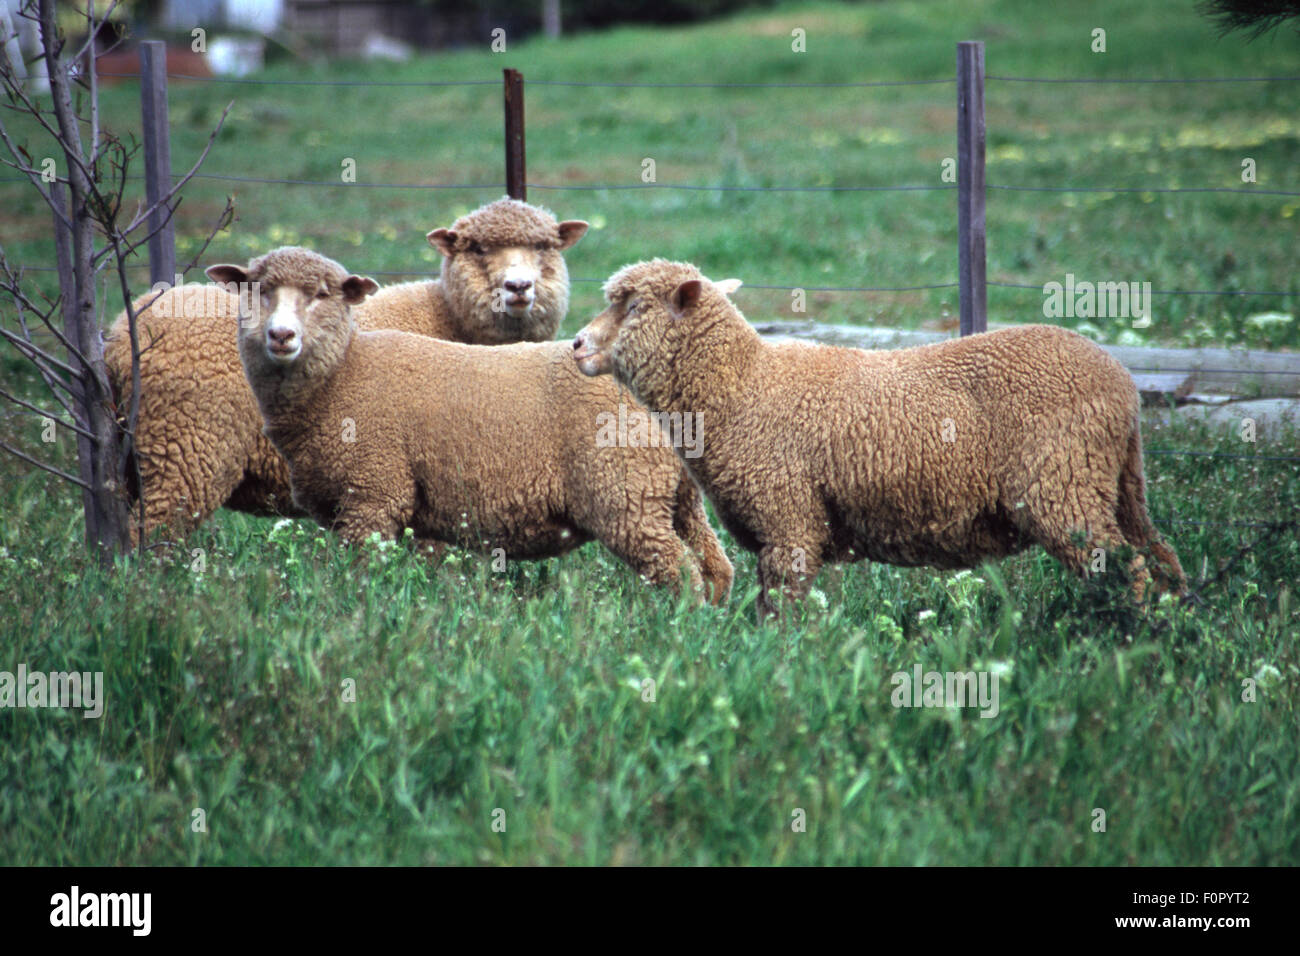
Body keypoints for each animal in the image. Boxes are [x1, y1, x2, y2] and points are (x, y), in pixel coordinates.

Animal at [104, 198, 589, 542]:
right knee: (149, 531)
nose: (519, 287)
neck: (446, 316)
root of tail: (121, 335)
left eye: (544, 247)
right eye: (479, 248)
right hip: (185, 445)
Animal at [220, 247, 733, 606]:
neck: (341, 376)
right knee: (715, 566)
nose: (281, 335)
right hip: (676, 495)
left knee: (680, 572)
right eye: (257, 291)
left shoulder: (373, 496)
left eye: (322, 295)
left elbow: (359, 578)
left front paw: (356, 613)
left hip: (626, 495)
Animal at [572, 259, 1187, 617]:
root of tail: (1123, 383)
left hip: (1063, 484)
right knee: (1157, 551)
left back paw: (1126, 634)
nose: (577, 345)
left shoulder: (790, 521)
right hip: (1115, 481)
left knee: (1124, 565)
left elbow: (780, 608)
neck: (743, 385)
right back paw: (1172, 619)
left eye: (633, 306)